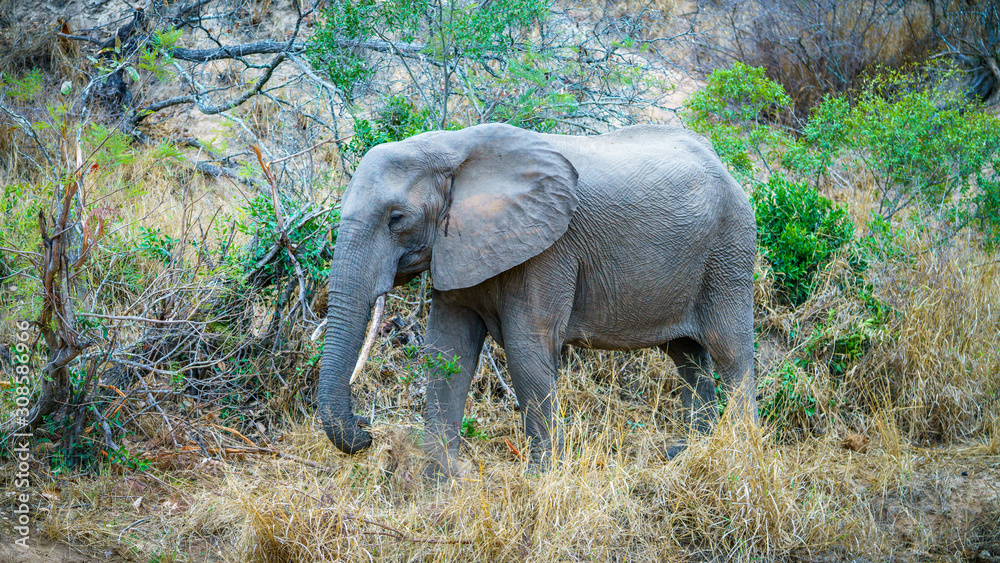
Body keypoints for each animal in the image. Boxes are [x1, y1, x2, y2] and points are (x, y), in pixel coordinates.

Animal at [318, 122, 757, 473]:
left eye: (396, 219)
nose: (367, 429)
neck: (452, 147)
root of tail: (724, 164)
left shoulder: (549, 250)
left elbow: (526, 349)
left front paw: (539, 480)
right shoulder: (459, 246)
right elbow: (447, 350)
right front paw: (439, 484)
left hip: (730, 250)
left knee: (731, 352)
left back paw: (739, 454)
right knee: (687, 355)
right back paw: (688, 453)